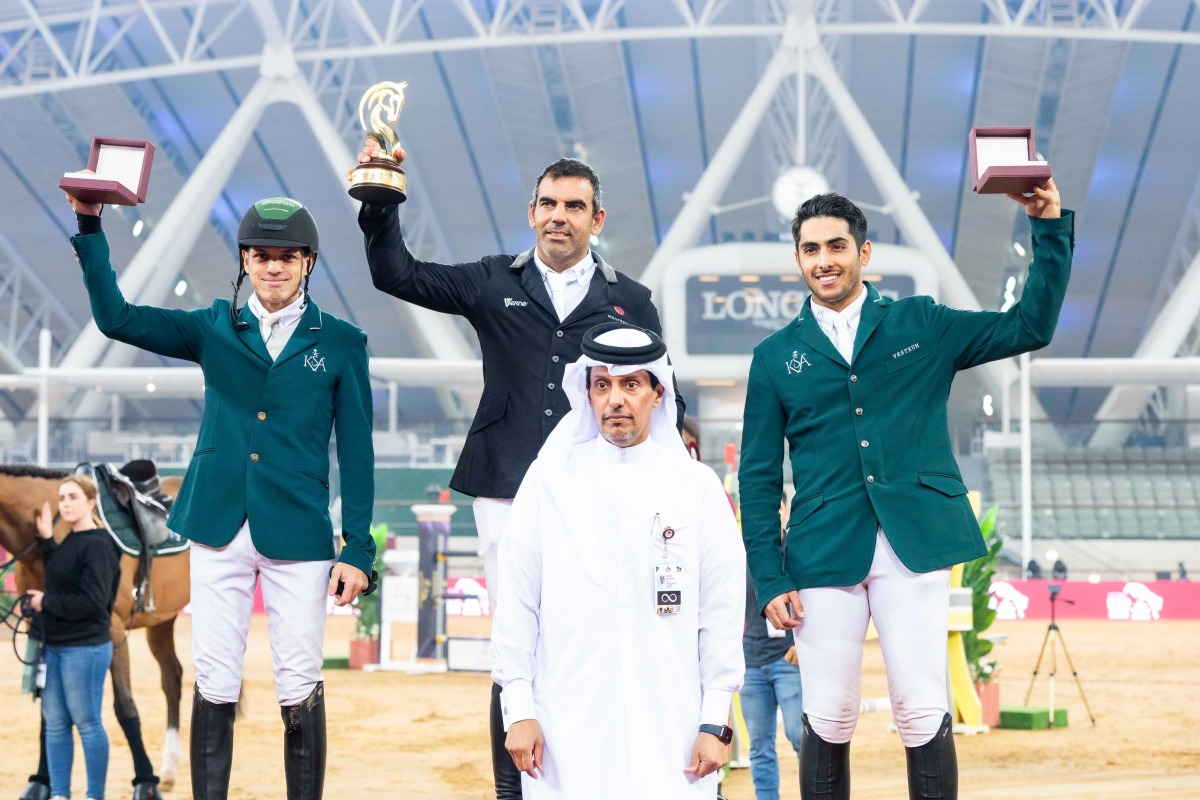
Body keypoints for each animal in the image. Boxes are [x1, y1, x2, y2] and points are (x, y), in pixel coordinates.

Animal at [0, 465, 187, 796]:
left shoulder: (113, 631)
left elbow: (125, 707)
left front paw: (144, 783)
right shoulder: (42, 626)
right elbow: (49, 712)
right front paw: (41, 782)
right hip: (162, 620)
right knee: (172, 678)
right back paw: (168, 770)